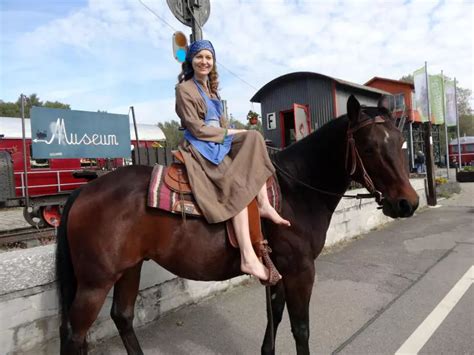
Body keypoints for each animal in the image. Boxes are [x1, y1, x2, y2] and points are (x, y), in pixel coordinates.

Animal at [56, 95, 418, 355]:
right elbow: (300, 328)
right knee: (76, 334)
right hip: (95, 281)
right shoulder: (300, 270)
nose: (408, 203)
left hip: (130, 267)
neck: (296, 189)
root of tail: (85, 189)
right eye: (369, 147)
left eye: (400, 141)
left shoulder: (281, 271)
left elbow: (275, 319)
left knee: (122, 316)